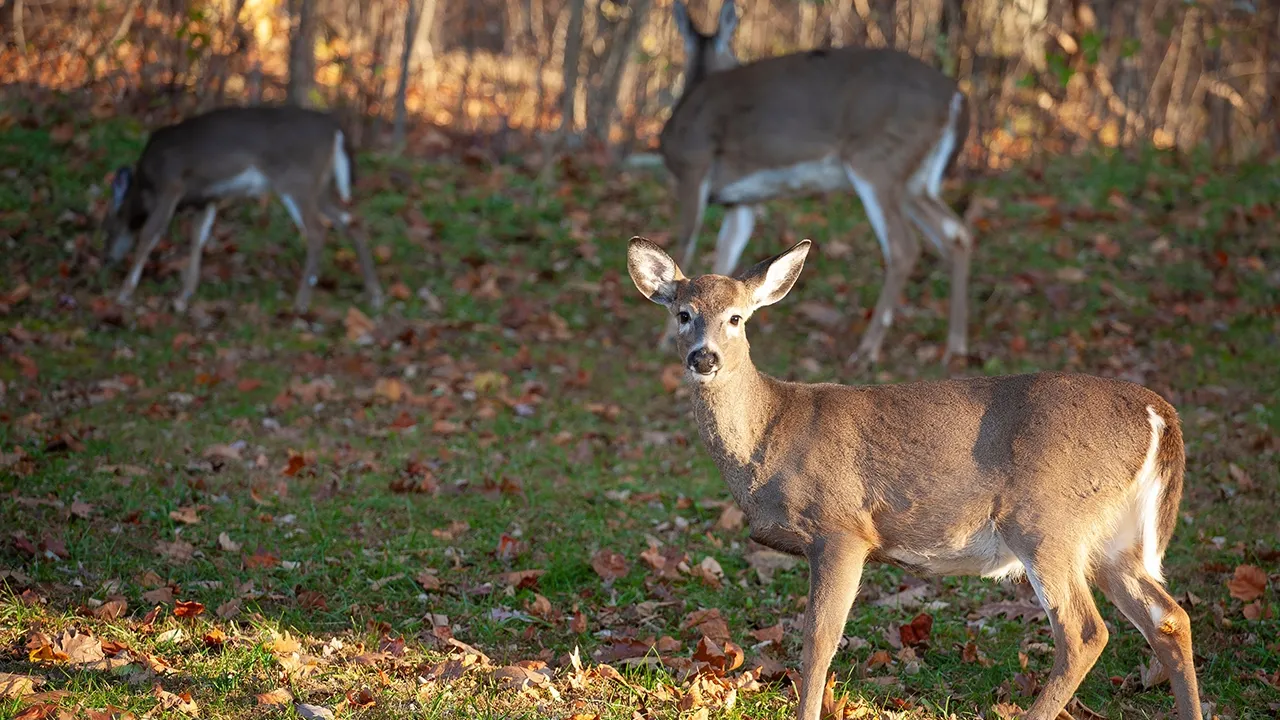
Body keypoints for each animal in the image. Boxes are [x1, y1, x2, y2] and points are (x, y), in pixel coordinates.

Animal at [102, 105, 383, 314]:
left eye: (109, 223)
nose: (107, 259)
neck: (144, 184)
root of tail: (336, 130)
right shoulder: (208, 199)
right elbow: (198, 239)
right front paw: (184, 296)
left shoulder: (171, 184)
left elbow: (150, 233)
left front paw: (124, 293)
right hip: (320, 187)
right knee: (353, 221)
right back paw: (374, 295)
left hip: (296, 180)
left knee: (317, 231)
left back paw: (301, 303)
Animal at [626, 236, 1202, 720]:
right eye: (683, 314)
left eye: (737, 318)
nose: (704, 357)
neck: (770, 436)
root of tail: (1159, 415)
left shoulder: (842, 528)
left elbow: (818, 643)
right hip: (1113, 539)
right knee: (1170, 618)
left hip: (1048, 518)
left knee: (1085, 633)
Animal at [660, 0, 972, 365]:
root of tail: (957, 98)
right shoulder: (743, 201)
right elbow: (723, 259)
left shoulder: (693, 165)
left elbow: (685, 248)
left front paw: (666, 338)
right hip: (916, 180)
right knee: (956, 234)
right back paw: (956, 347)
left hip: (879, 160)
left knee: (904, 246)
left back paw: (867, 351)